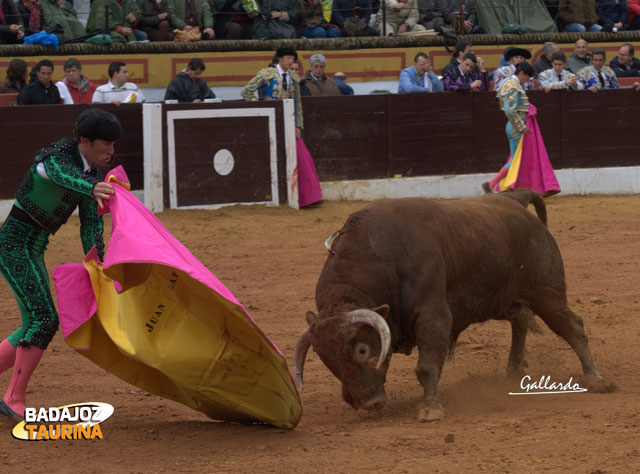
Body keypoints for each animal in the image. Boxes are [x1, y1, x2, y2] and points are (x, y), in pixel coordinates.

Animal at [292, 191, 604, 420]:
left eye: (362, 350)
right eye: (325, 358)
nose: (367, 402)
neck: (379, 255)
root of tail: (516, 201)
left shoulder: (432, 314)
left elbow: (427, 365)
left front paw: (431, 409)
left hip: (546, 292)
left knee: (570, 326)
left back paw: (595, 378)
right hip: (501, 299)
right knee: (521, 319)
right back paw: (514, 370)